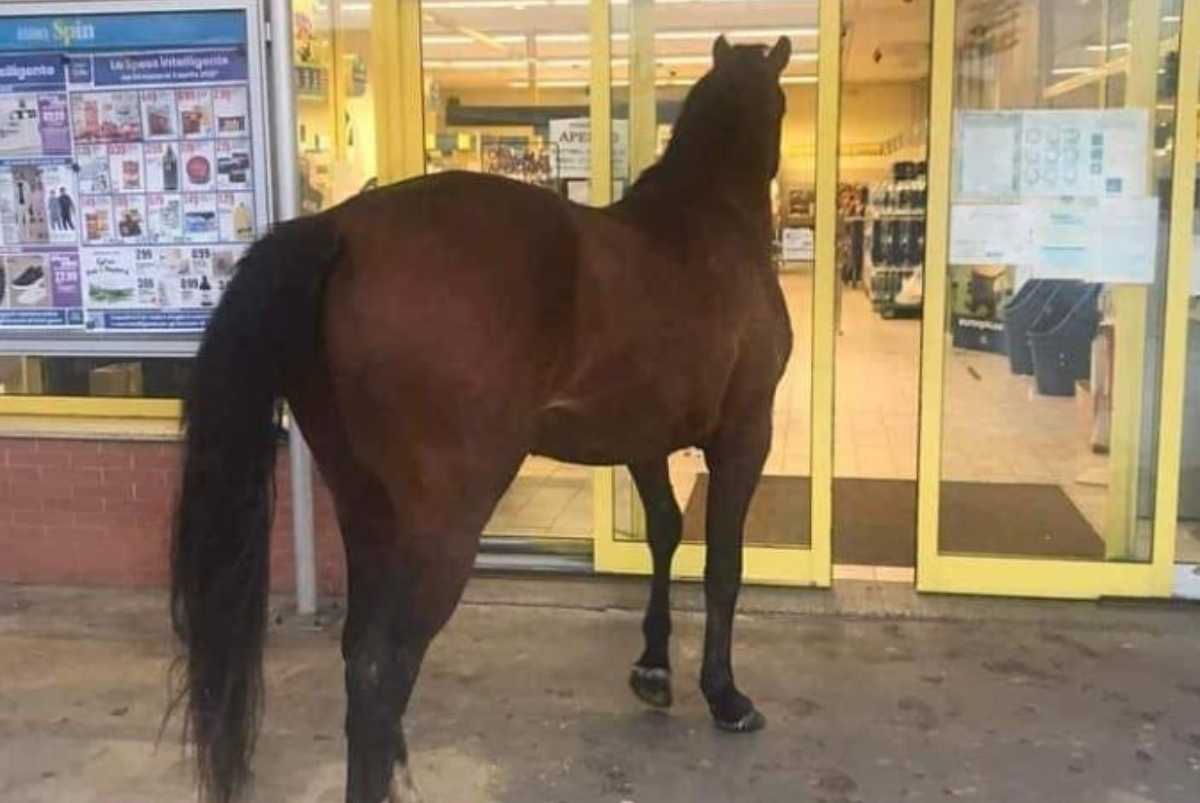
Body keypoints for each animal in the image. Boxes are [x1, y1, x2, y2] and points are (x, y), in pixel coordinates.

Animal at [166, 36, 787, 801]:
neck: (705, 224)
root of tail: (339, 227)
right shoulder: (746, 432)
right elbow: (724, 561)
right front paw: (726, 695)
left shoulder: (643, 438)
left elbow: (666, 533)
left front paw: (653, 666)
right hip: (447, 524)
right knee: (381, 667)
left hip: (367, 508)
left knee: (358, 651)